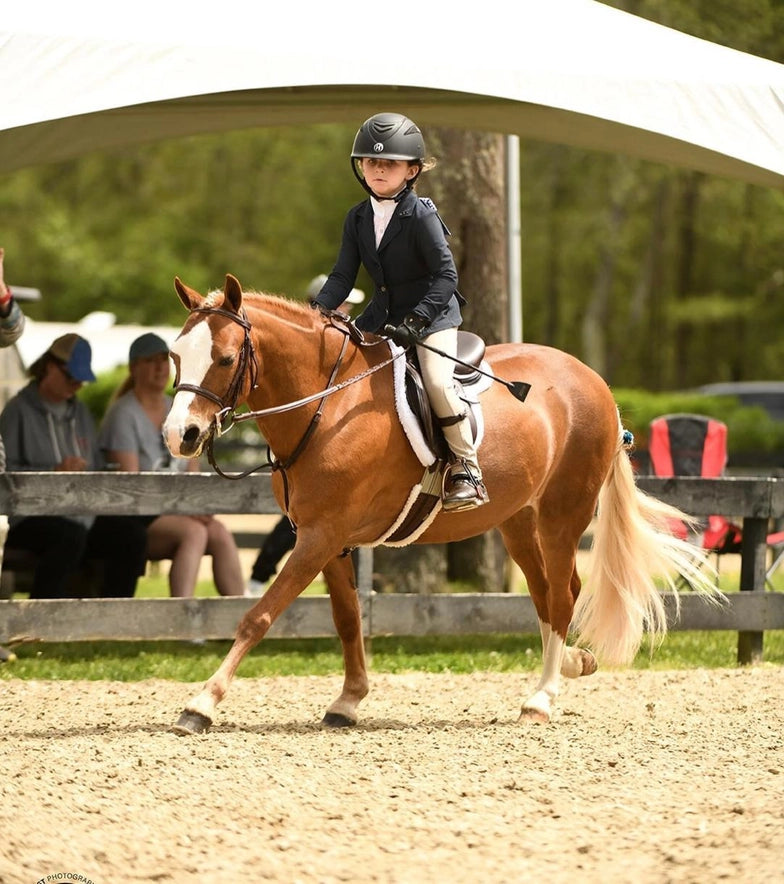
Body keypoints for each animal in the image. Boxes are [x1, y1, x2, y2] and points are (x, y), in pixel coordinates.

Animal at [162, 274, 708, 732]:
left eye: (225, 359)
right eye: (175, 357)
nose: (178, 435)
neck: (327, 404)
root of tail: (596, 382)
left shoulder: (320, 537)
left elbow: (259, 616)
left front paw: (201, 704)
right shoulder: (327, 540)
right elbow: (348, 619)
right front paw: (348, 701)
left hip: (562, 515)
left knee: (561, 595)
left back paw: (541, 699)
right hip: (517, 521)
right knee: (548, 594)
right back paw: (573, 663)